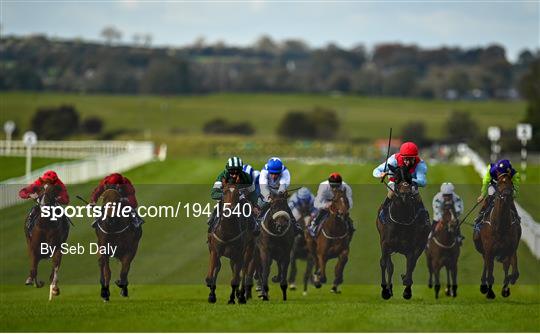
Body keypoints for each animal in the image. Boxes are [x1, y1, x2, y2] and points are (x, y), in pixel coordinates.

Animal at [376, 165, 430, 300]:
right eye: (396, 178)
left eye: (410, 177)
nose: (405, 192)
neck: (402, 218)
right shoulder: (385, 243)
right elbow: (385, 264)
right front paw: (385, 291)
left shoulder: (413, 246)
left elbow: (410, 265)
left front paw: (406, 288)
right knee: (389, 265)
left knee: (411, 264)